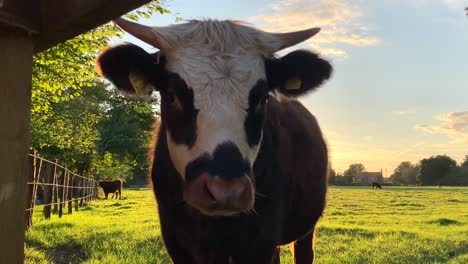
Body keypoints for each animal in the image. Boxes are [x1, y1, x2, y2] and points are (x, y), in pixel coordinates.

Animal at [97, 17, 332, 262]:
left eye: (262, 98)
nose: (226, 191)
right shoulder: (177, 241)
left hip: (306, 228)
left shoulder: (259, 241)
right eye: (172, 95)